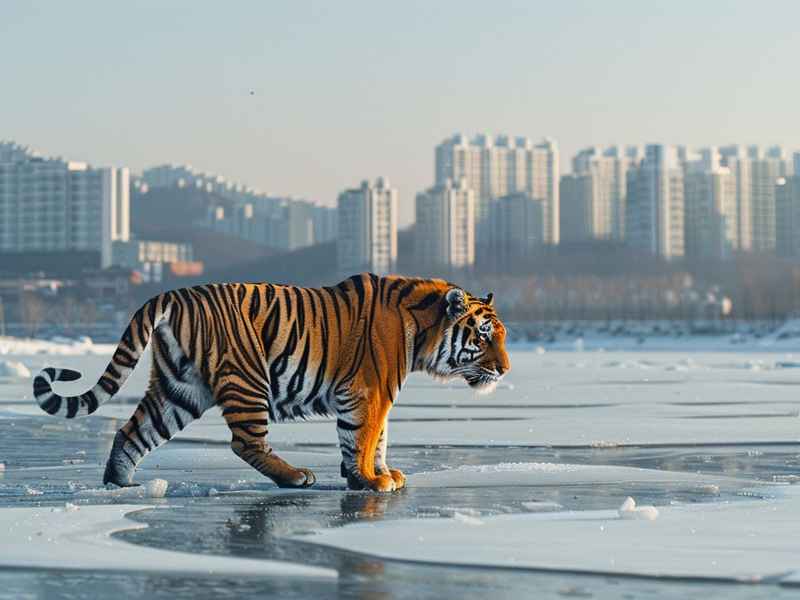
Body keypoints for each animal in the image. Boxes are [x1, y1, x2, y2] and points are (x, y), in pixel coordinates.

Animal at [33, 273, 510, 492]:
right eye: (484, 337)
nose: (506, 369)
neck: (423, 334)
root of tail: (173, 293)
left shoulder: (374, 395)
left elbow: (376, 439)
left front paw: (379, 473)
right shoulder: (369, 392)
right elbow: (365, 436)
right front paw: (369, 480)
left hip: (179, 389)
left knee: (133, 431)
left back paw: (119, 483)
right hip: (248, 378)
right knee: (246, 443)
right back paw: (296, 476)